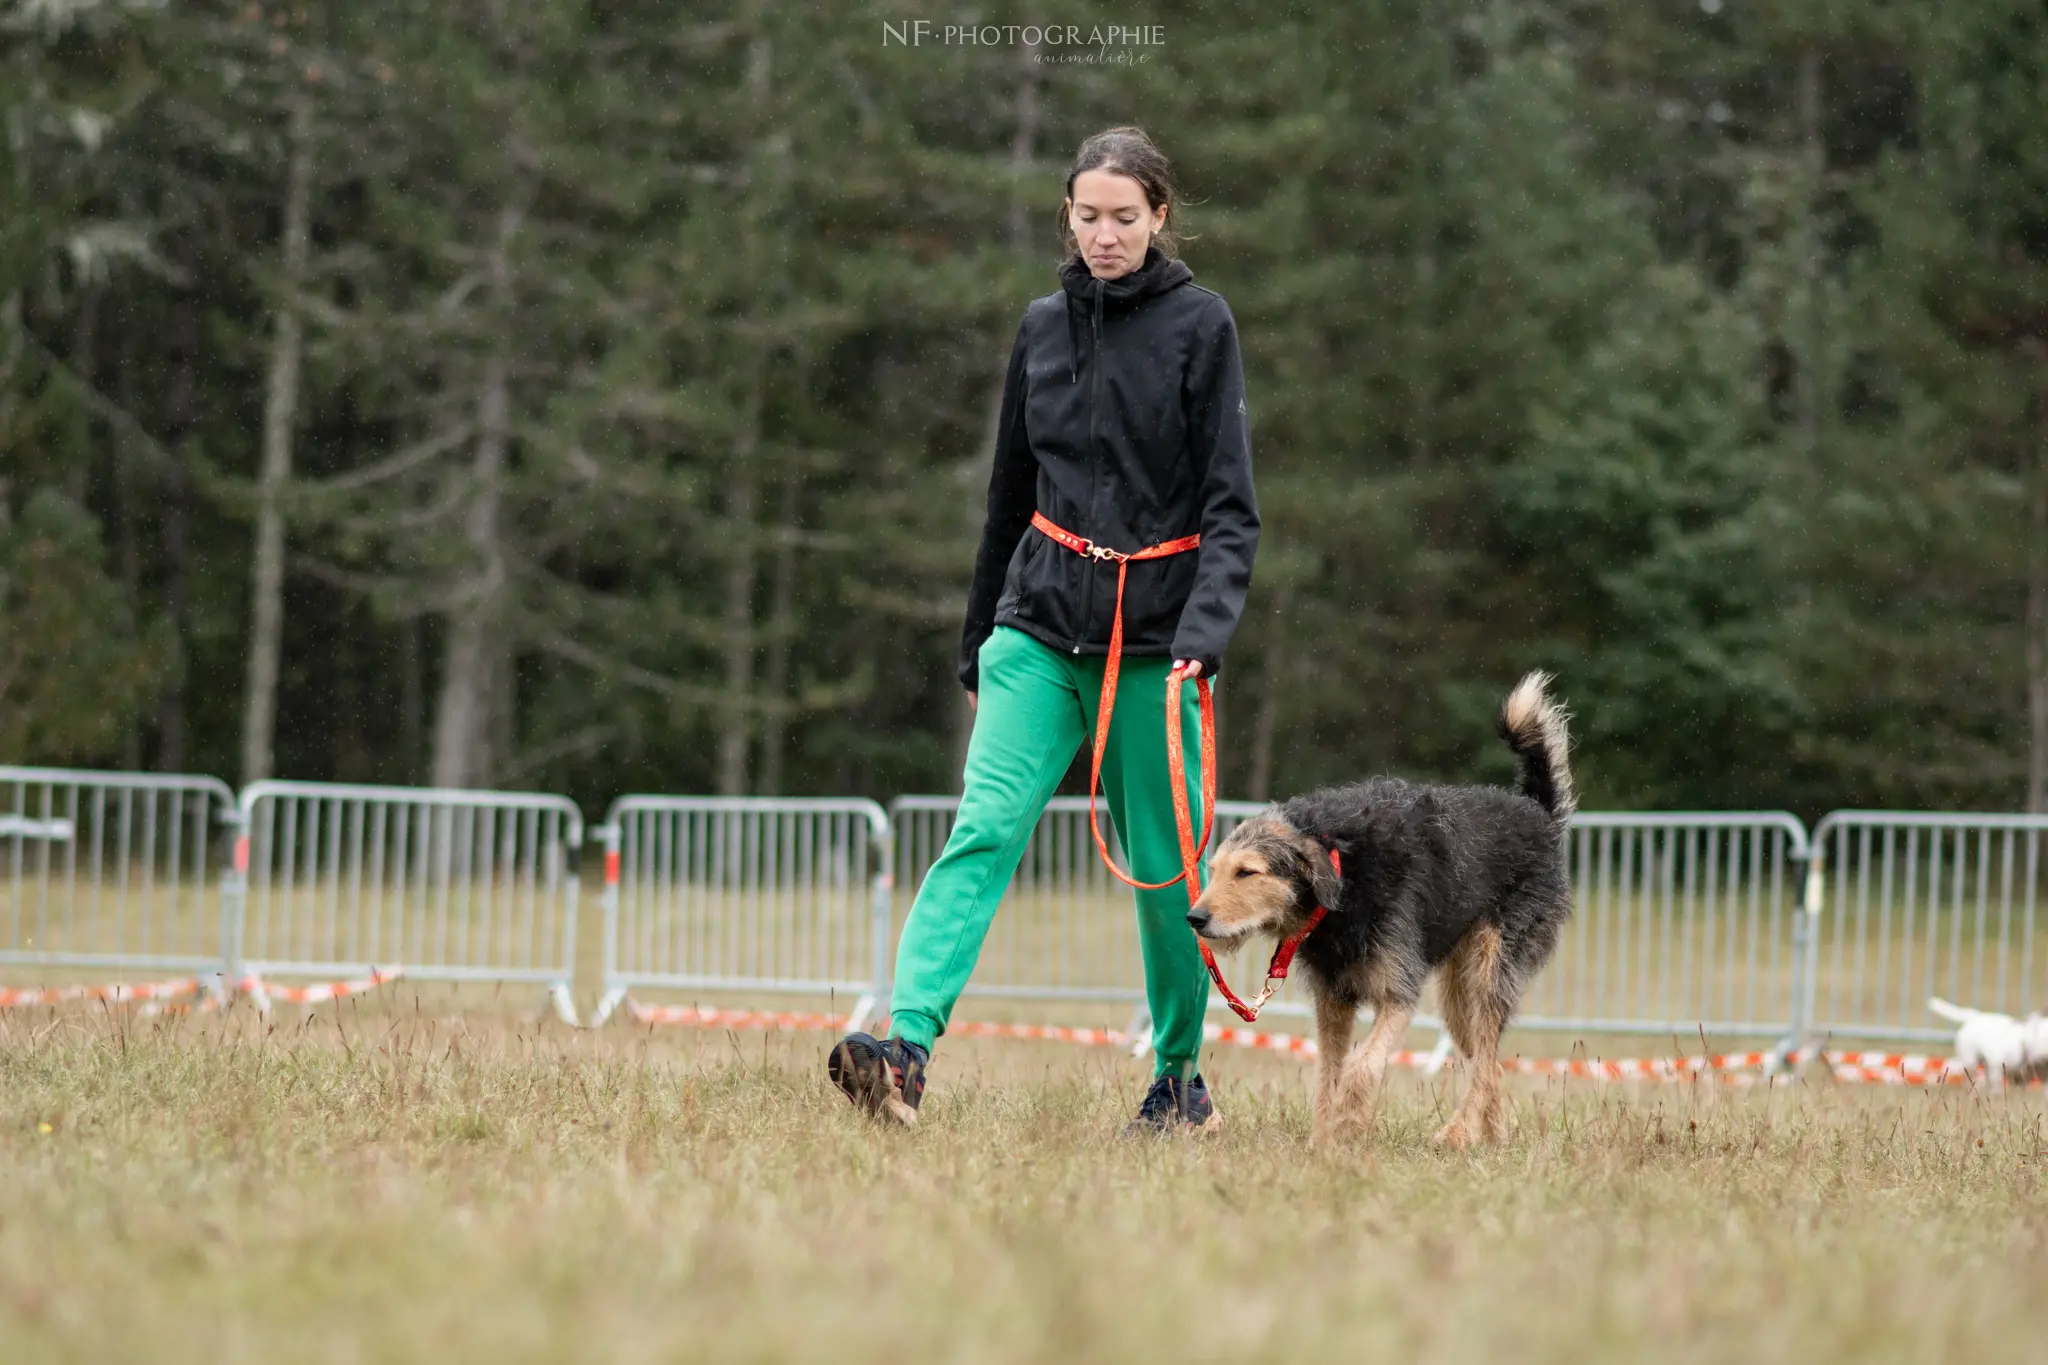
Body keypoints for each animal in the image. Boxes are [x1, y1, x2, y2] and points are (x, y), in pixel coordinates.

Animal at [1179, 671, 1572, 1154]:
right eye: (1214, 870)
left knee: (1483, 1058)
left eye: (1247, 872)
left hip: (1490, 972)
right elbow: (1327, 1076)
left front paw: (1349, 1122)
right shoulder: (1333, 1002)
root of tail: (1538, 814)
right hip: (1457, 998)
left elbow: (1361, 1067)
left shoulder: (1397, 994)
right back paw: (1490, 1136)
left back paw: (1457, 1132)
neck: (1344, 880)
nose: (1194, 919)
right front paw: (1322, 1142)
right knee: (1490, 1060)